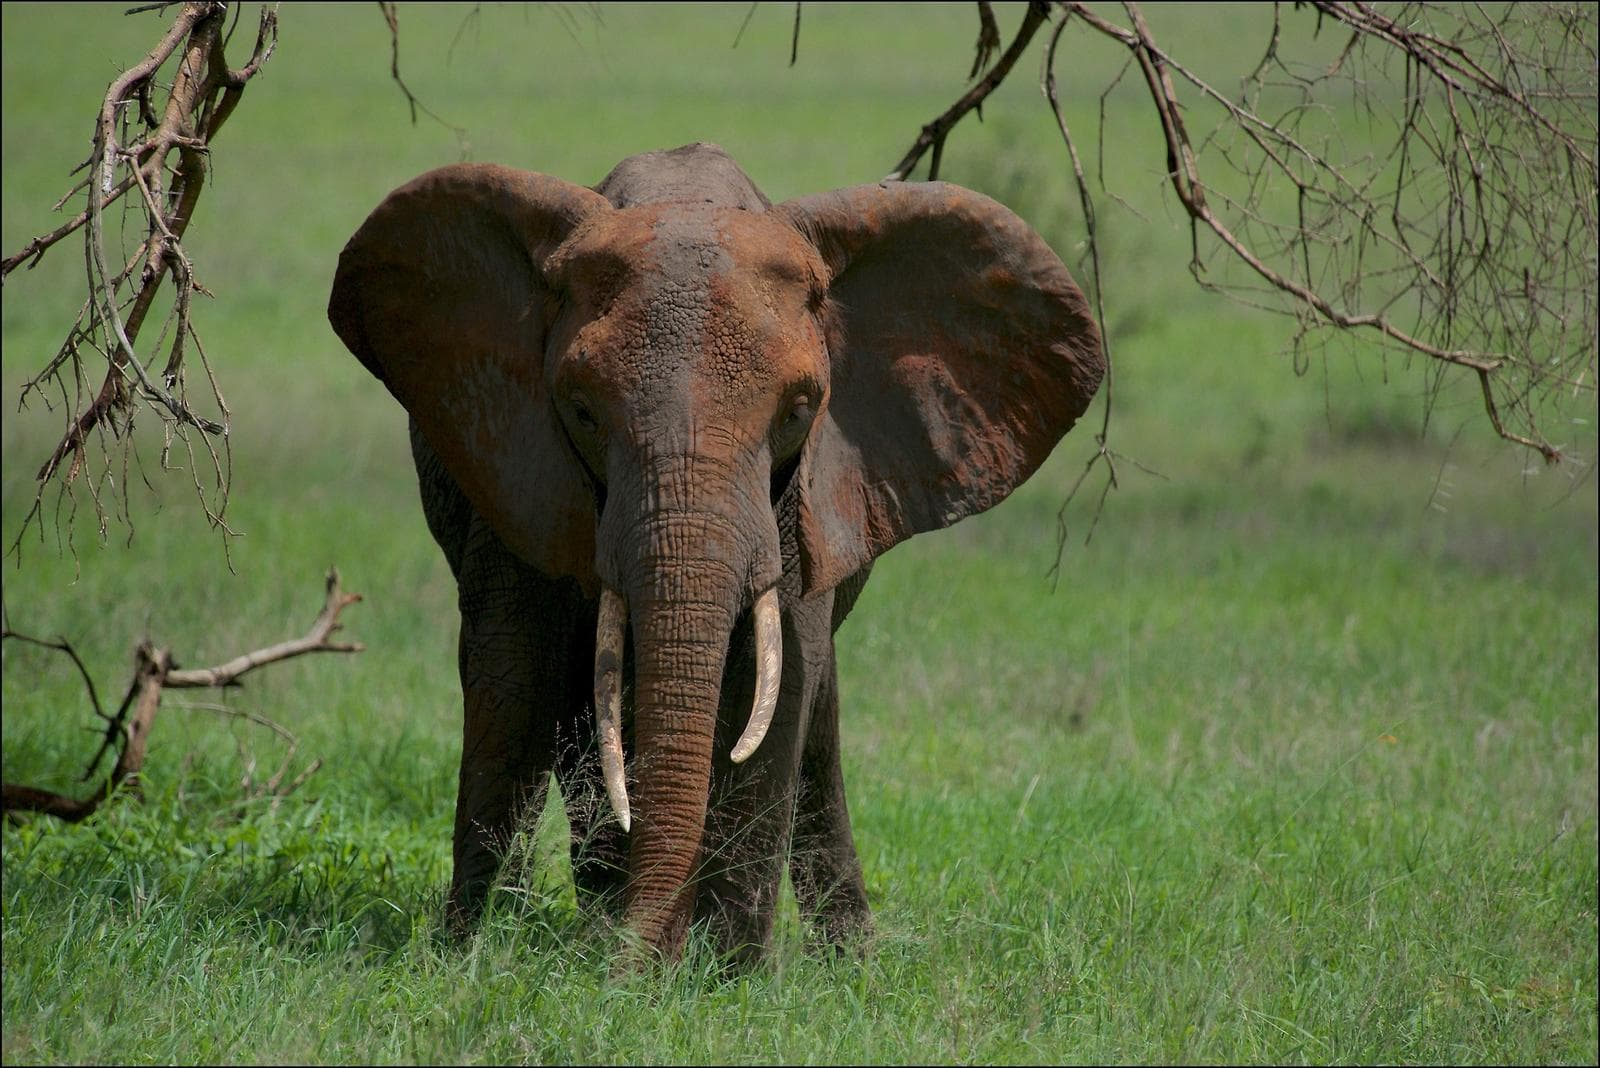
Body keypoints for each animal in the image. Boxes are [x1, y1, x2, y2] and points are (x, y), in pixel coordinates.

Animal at [328, 142, 1104, 964]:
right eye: (582, 411)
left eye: (799, 410)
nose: (635, 961)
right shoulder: (515, 465)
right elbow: (515, 665)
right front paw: (469, 953)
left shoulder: (797, 499)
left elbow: (779, 676)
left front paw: (726, 971)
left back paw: (844, 956)